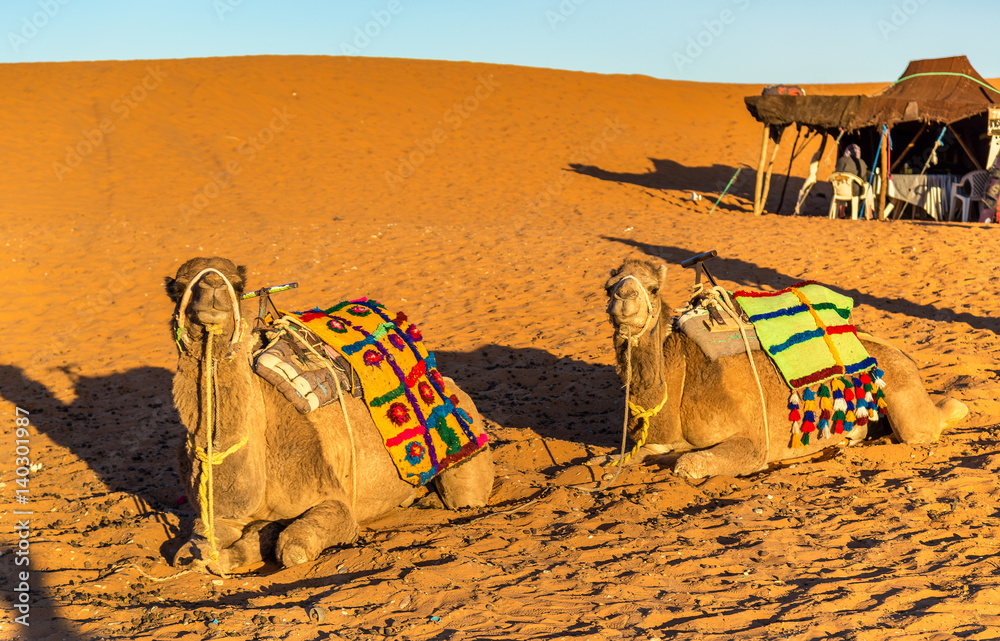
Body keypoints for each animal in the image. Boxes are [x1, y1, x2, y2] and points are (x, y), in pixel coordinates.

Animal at [165, 257, 493, 574]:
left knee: (464, 495)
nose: (212, 286)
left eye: (238, 284)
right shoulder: (220, 517)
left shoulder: (333, 499)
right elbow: (192, 551)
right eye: (179, 288)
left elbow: (294, 547)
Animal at [605, 258, 968, 479]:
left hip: (900, 388)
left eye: (653, 288)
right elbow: (621, 459)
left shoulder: (753, 442)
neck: (679, 371)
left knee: (925, 425)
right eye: (608, 287)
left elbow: (687, 463)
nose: (624, 297)